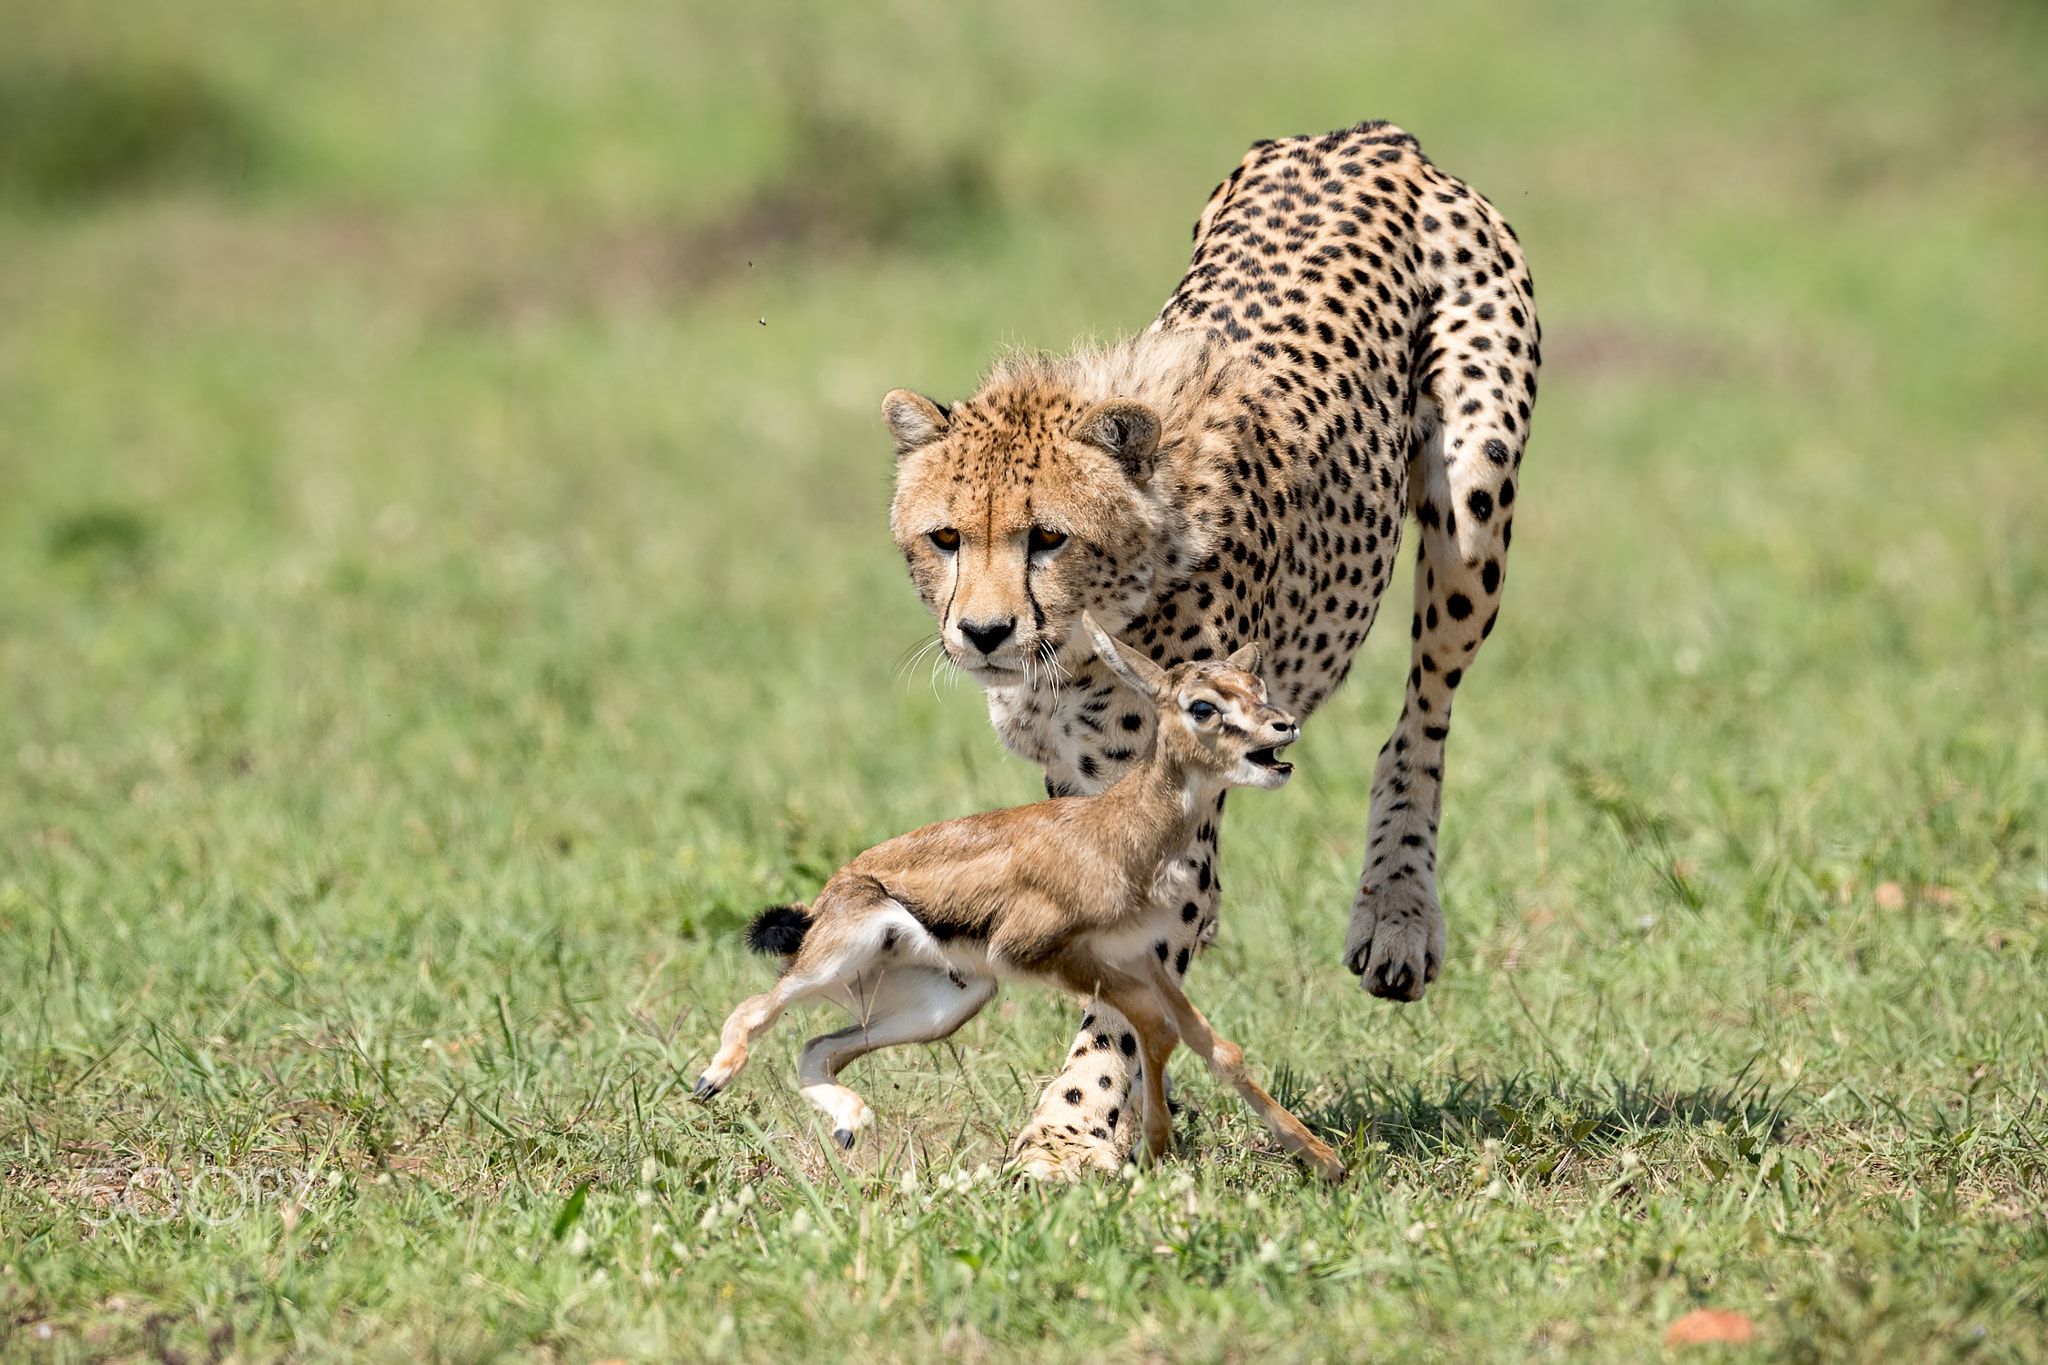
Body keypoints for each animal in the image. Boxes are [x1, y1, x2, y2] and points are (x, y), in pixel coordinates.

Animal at [880, 122, 1540, 1178]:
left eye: (1047, 537)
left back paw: (1396, 914)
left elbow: (1121, 1001)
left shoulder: (1174, 842)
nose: (983, 631)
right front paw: (1119, 1118)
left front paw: (1068, 1129)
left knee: (1425, 711)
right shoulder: (1082, 806)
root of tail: (1363, 133)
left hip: (1474, 495)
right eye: (945, 538)